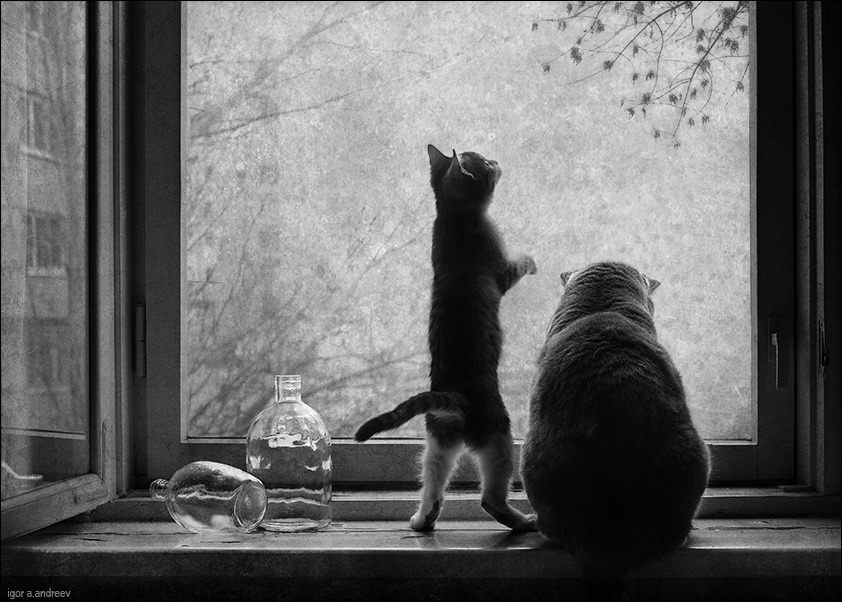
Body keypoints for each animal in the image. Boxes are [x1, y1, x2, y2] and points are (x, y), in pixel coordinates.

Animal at [354, 144, 540, 528]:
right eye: (485, 164)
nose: (496, 160)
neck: (451, 219)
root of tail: (452, 396)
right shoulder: (501, 270)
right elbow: (516, 265)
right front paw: (531, 260)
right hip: (497, 432)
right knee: (489, 497)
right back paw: (522, 520)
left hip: (439, 439)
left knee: (433, 479)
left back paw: (422, 519)